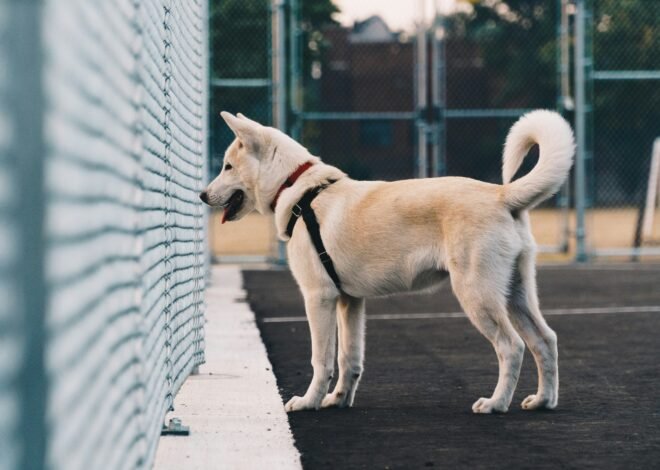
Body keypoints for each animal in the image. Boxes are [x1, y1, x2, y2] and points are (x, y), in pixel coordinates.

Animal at [200, 110, 572, 414]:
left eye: (227, 166)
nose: (202, 195)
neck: (300, 191)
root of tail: (501, 195)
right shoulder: (350, 302)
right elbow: (349, 358)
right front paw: (338, 400)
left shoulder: (319, 298)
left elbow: (322, 359)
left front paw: (309, 402)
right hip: (515, 294)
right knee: (546, 340)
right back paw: (543, 401)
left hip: (477, 294)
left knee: (512, 347)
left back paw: (496, 403)